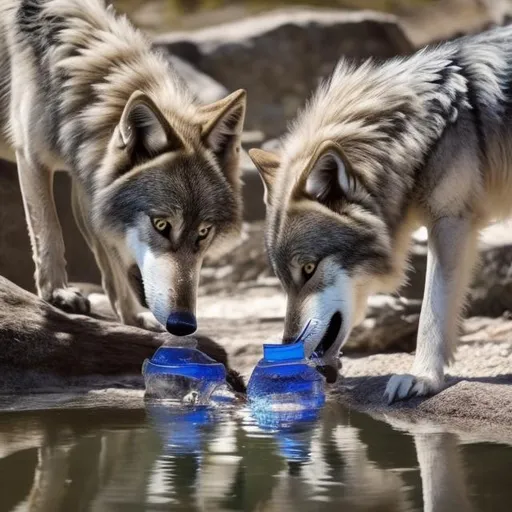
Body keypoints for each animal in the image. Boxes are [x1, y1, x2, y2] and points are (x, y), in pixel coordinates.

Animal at [0, 0, 247, 334]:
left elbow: (111, 260)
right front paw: (58, 293)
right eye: (161, 225)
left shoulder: (86, 179)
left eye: (204, 232)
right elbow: (49, 231)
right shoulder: (31, 157)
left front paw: (132, 317)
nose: (184, 323)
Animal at [250, 26, 512, 402]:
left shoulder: (451, 221)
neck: (429, 127)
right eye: (283, 279)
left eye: (309, 269)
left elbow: (431, 311)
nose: (287, 347)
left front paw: (422, 378)